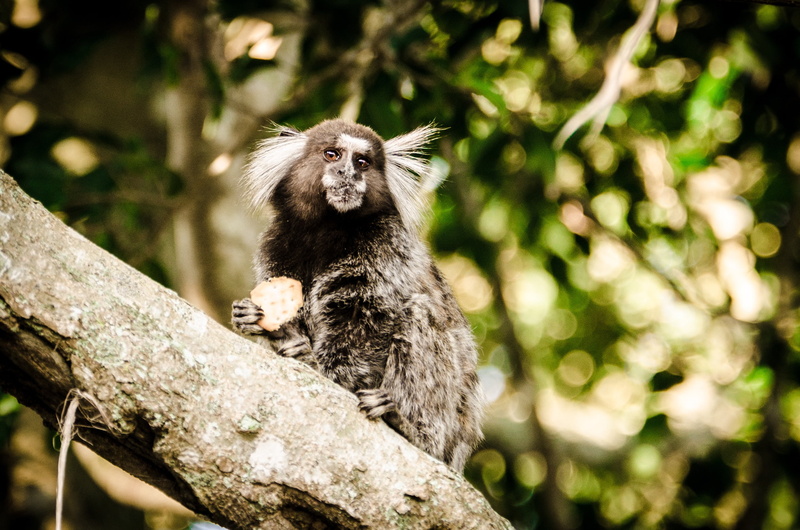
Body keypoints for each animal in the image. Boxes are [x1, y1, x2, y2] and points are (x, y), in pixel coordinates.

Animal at [231, 119, 483, 472]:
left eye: (362, 162)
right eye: (332, 154)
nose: (347, 173)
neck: (328, 229)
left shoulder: (386, 249)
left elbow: (369, 325)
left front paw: (317, 366)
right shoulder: (275, 248)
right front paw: (260, 322)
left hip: (450, 423)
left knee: (420, 313)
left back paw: (409, 428)